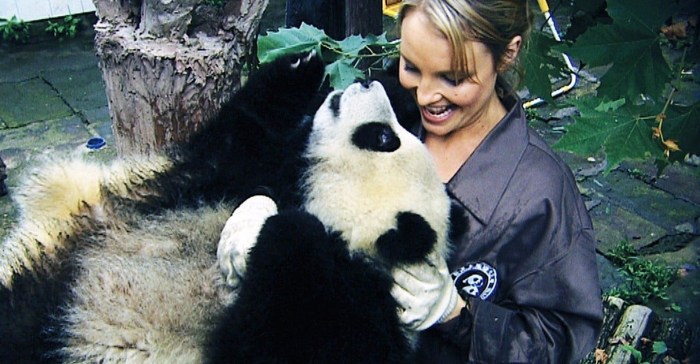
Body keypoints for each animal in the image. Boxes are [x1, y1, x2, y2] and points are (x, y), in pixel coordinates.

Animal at [1, 52, 464, 364]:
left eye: (384, 139)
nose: (367, 85)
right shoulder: (238, 175)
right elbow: (242, 136)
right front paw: (305, 64)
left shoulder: (355, 311)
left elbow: (269, 343)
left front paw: (291, 231)